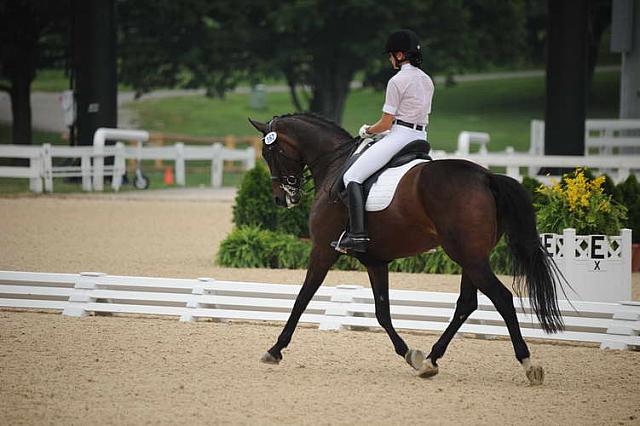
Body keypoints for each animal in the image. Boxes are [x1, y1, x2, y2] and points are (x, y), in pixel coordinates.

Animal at [248, 111, 564, 384]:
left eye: (268, 153)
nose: (281, 199)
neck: (334, 164)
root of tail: (485, 176)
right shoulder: (375, 261)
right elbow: (382, 312)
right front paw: (411, 355)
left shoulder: (323, 251)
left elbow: (302, 298)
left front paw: (275, 350)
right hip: (471, 256)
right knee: (467, 303)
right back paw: (431, 360)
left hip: (469, 257)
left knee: (501, 298)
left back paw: (528, 364)